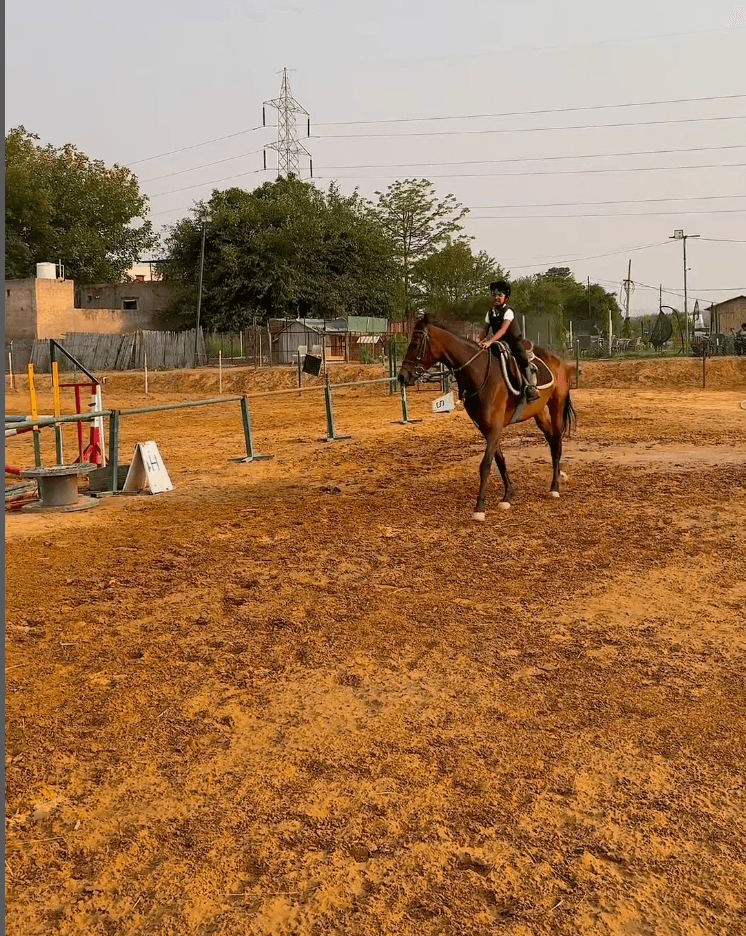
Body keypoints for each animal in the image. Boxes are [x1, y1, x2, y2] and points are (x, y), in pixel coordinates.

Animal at [398, 314, 572, 520]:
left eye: (416, 344)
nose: (401, 377)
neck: (479, 372)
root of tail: (559, 359)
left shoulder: (494, 427)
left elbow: (486, 465)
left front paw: (479, 508)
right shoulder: (486, 428)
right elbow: (500, 460)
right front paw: (507, 496)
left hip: (556, 405)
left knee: (557, 442)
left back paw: (554, 487)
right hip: (538, 412)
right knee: (552, 440)